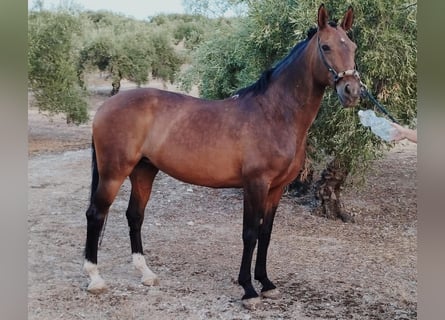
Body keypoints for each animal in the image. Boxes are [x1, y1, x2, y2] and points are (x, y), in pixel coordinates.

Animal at [83, 4, 360, 308]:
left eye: (353, 47)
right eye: (326, 46)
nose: (352, 91)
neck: (274, 114)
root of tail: (106, 106)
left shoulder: (276, 188)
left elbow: (266, 233)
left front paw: (266, 283)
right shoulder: (255, 184)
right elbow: (250, 234)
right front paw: (248, 289)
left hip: (143, 171)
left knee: (134, 215)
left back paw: (146, 273)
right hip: (113, 173)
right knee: (96, 214)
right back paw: (95, 278)